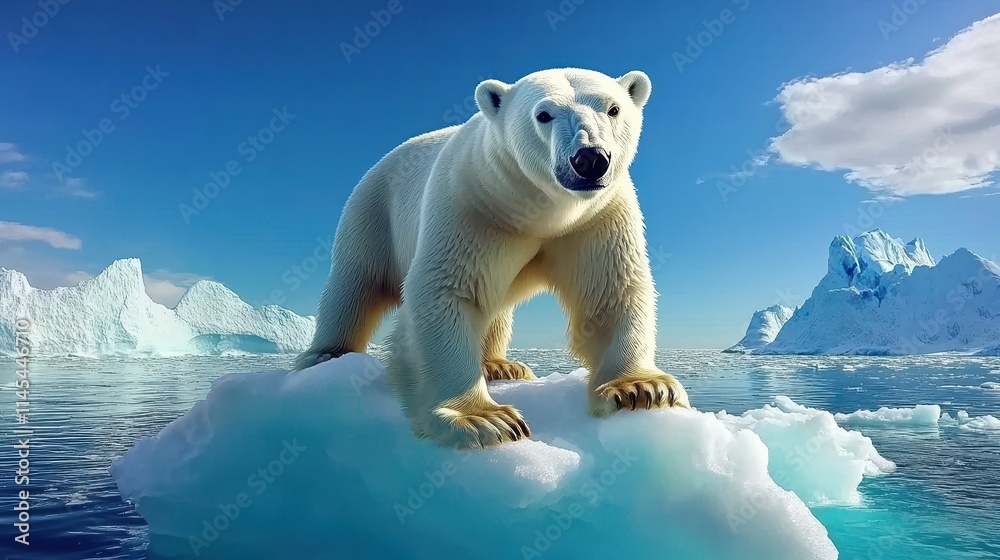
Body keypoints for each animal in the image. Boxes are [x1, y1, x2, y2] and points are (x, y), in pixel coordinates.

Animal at [295, 68, 689, 449]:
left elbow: (611, 292)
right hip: (374, 211)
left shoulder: (596, 218)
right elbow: (444, 293)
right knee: (355, 282)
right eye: (543, 114)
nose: (590, 158)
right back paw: (326, 356)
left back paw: (501, 365)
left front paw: (642, 389)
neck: (541, 211)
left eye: (613, 108)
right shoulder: (471, 206)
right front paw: (483, 420)